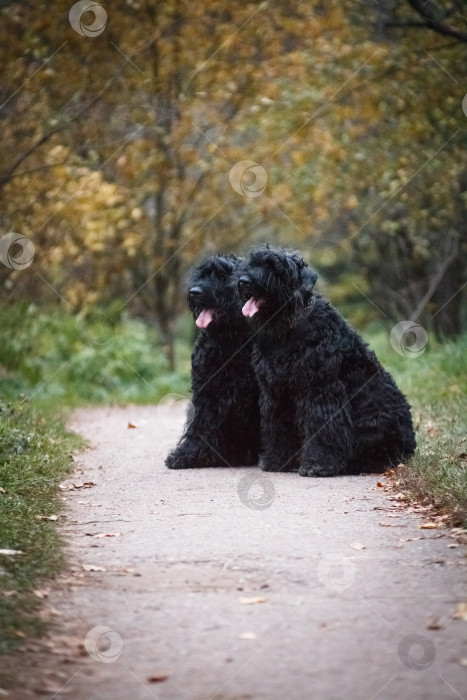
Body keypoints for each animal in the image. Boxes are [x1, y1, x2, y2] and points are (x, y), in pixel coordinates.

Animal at [165, 253, 262, 470]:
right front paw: (187, 454)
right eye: (202, 274)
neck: (228, 341)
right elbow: (199, 425)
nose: (194, 292)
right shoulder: (206, 391)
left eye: (224, 276)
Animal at [239, 245, 418, 476]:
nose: (243, 281)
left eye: (273, 266)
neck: (288, 329)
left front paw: (317, 464)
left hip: (375, 421)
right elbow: (276, 427)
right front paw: (275, 460)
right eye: (250, 263)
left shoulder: (320, 391)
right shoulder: (274, 393)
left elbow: (321, 427)